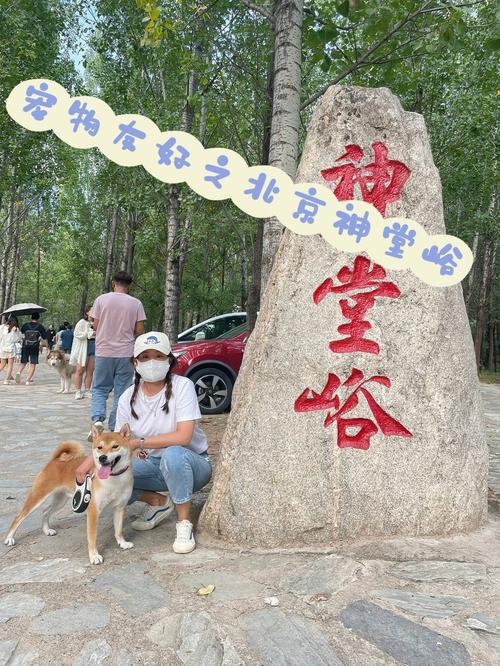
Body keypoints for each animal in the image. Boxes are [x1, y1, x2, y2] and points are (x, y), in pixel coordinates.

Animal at [3, 426, 135, 560]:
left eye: (115, 446)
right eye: (99, 447)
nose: (102, 457)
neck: (114, 479)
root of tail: (55, 460)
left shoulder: (120, 507)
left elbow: (118, 530)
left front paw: (122, 543)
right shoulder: (93, 510)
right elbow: (92, 536)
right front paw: (94, 556)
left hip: (60, 501)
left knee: (45, 511)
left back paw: (46, 530)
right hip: (38, 496)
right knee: (19, 517)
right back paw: (9, 538)